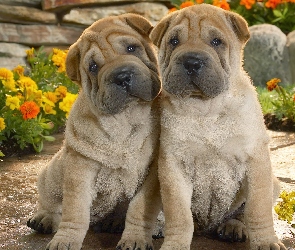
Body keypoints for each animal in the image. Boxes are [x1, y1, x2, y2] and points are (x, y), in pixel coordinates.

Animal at [26, 13, 162, 250]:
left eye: (132, 48)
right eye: (93, 67)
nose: (122, 76)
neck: (125, 119)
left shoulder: (151, 173)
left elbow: (138, 209)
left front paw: (135, 237)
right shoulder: (80, 168)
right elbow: (75, 211)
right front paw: (65, 239)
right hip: (51, 173)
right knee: (51, 201)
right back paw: (45, 218)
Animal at [117, 3, 286, 250]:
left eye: (216, 41)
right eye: (174, 41)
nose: (191, 62)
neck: (206, 109)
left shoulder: (256, 161)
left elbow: (258, 210)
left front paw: (266, 242)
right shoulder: (174, 167)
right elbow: (179, 215)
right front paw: (175, 244)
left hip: (273, 183)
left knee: (241, 213)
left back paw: (234, 226)